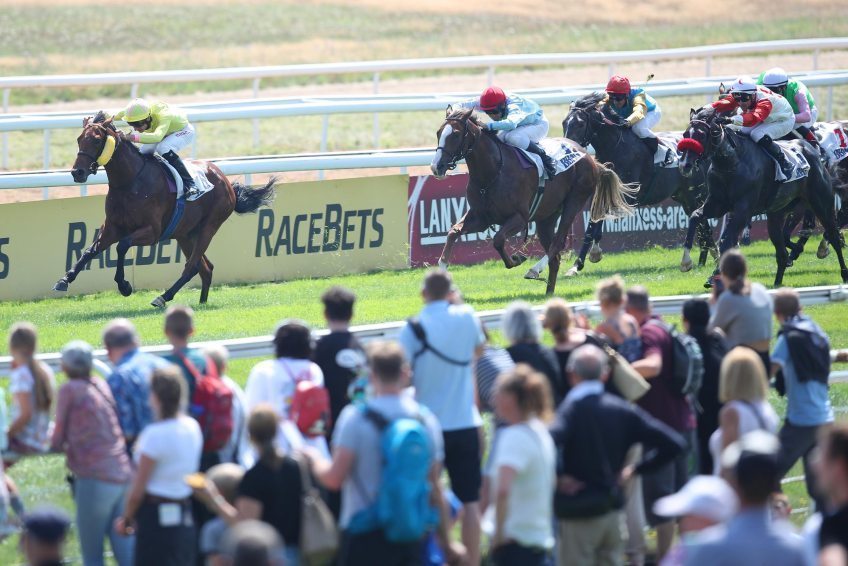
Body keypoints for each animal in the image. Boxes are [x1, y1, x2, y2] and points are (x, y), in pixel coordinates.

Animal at [57, 112, 274, 308]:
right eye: (79, 139)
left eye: (96, 140)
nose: (77, 172)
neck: (129, 182)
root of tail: (225, 180)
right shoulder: (112, 227)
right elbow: (90, 251)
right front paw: (65, 279)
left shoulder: (152, 231)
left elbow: (122, 246)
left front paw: (124, 286)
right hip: (185, 234)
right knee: (205, 268)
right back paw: (202, 302)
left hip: (210, 226)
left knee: (192, 266)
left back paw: (163, 297)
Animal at [430, 107, 636, 298]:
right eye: (439, 132)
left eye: (456, 134)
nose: (436, 167)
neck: (493, 172)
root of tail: (588, 156)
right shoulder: (481, 218)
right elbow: (453, 232)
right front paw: (441, 275)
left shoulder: (520, 217)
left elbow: (498, 240)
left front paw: (517, 259)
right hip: (546, 217)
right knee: (555, 257)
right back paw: (549, 293)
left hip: (574, 201)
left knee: (558, 242)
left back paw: (535, 270)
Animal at [564, 94, 716, 276]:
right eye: (564, 122)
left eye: (580, 123)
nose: (569, 146)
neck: (615, 147)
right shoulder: (601, 194)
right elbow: (592, 223)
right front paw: (576, 265)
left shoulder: (628, 196)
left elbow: (602, 217)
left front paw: (594, 253)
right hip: (685, 198)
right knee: (702, 224)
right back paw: (705, 259)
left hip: (696, 195)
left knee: (702, 223)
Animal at [680, 105, 848, 288]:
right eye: (685, 134)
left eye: (701, 135)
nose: (685, 165)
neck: (732, 162)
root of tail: (813, 151)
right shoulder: (716, 204)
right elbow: (695, 217)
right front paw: (686, 262)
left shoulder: (743, 209)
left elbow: (727, 241)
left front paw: (715, 275)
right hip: (777, 213)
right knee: (782, 251)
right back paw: (777, 284)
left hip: (820, 203)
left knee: (833, 236)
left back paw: (842, 272)